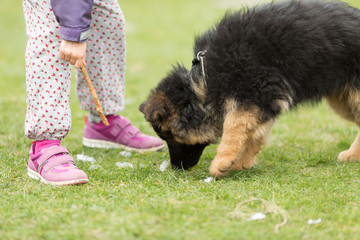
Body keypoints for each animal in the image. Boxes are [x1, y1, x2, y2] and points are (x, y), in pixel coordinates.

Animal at [139, 0, 360, 176]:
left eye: (170, 136)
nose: (176, 168)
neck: (203, 80)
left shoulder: (259, 92)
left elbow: (233, 125)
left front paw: (222, 162)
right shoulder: (263, 101)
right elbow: (253, 132)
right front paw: (240, 162)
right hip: (343, 101)